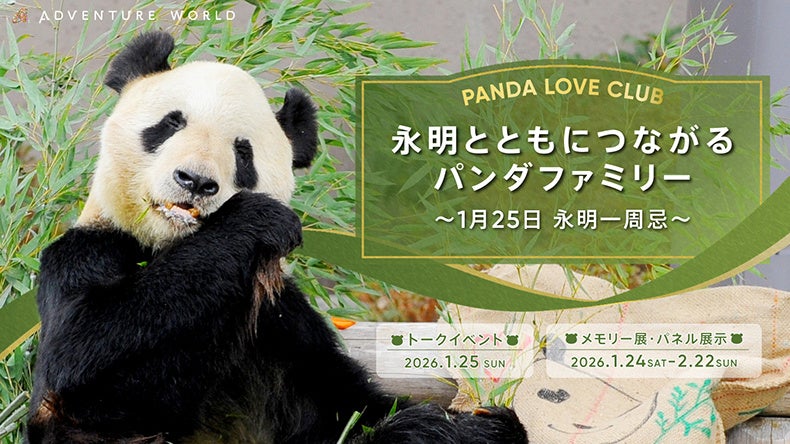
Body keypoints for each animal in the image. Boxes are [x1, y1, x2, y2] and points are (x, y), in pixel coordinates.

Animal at [26, 32, 528, 444]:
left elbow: (351, 408)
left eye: (242, 152)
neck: (170, 243)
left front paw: (475, 426)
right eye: (170, 124)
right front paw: (254, 220)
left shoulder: (284, 326)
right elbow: (85, 359)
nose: (196, 181)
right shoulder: (86, 255)